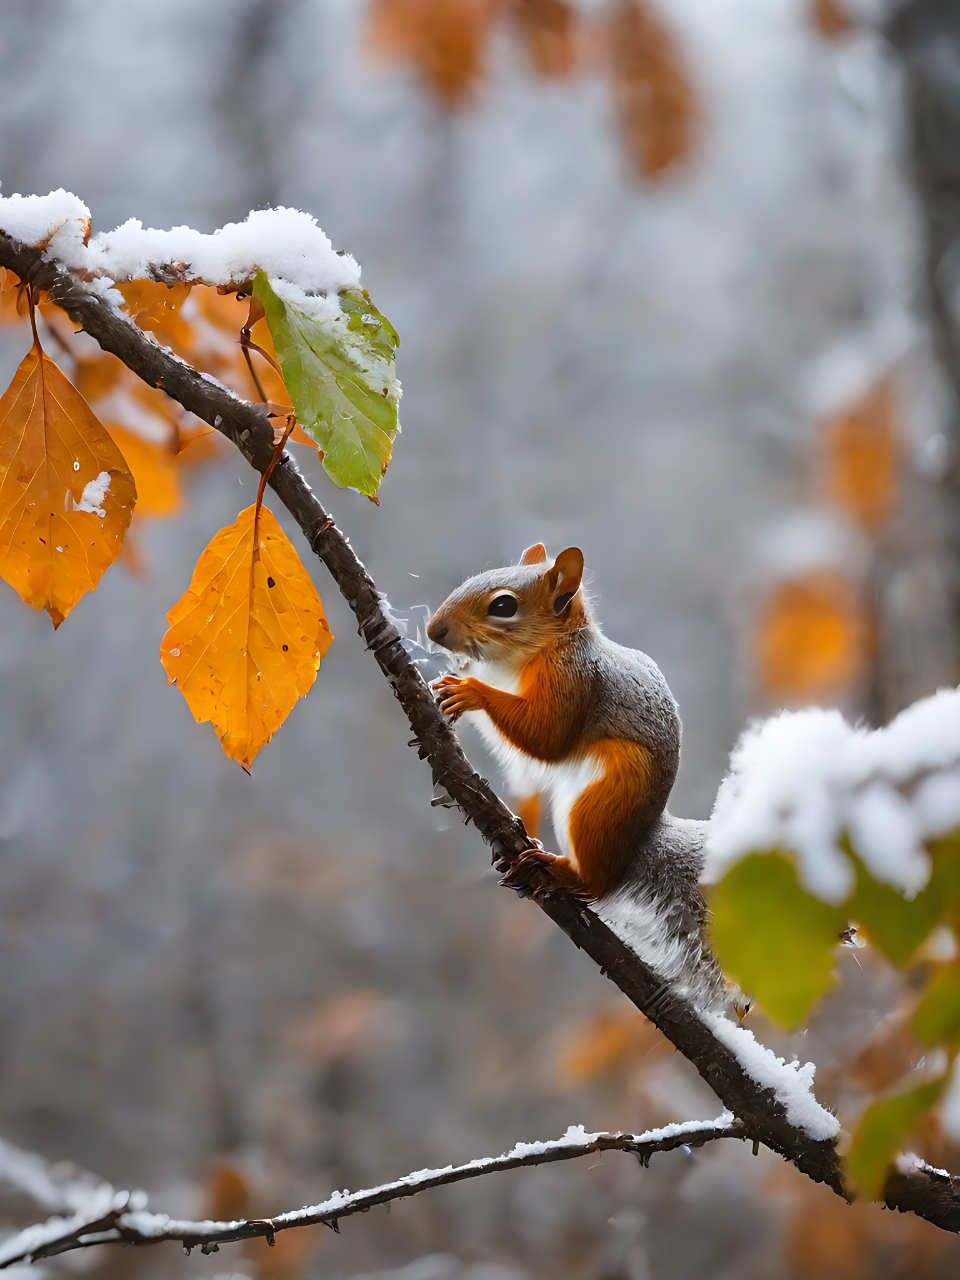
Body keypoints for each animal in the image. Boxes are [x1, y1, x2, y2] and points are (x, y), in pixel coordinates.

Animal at [427, 545, 721, 1003]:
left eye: (503, 606)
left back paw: (560, 870)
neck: (545, 647)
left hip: (604, 802)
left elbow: (547, 735)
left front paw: (470, 689)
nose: (433, 630)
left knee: (598, 885)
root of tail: (638, 843)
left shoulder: (573, 679)